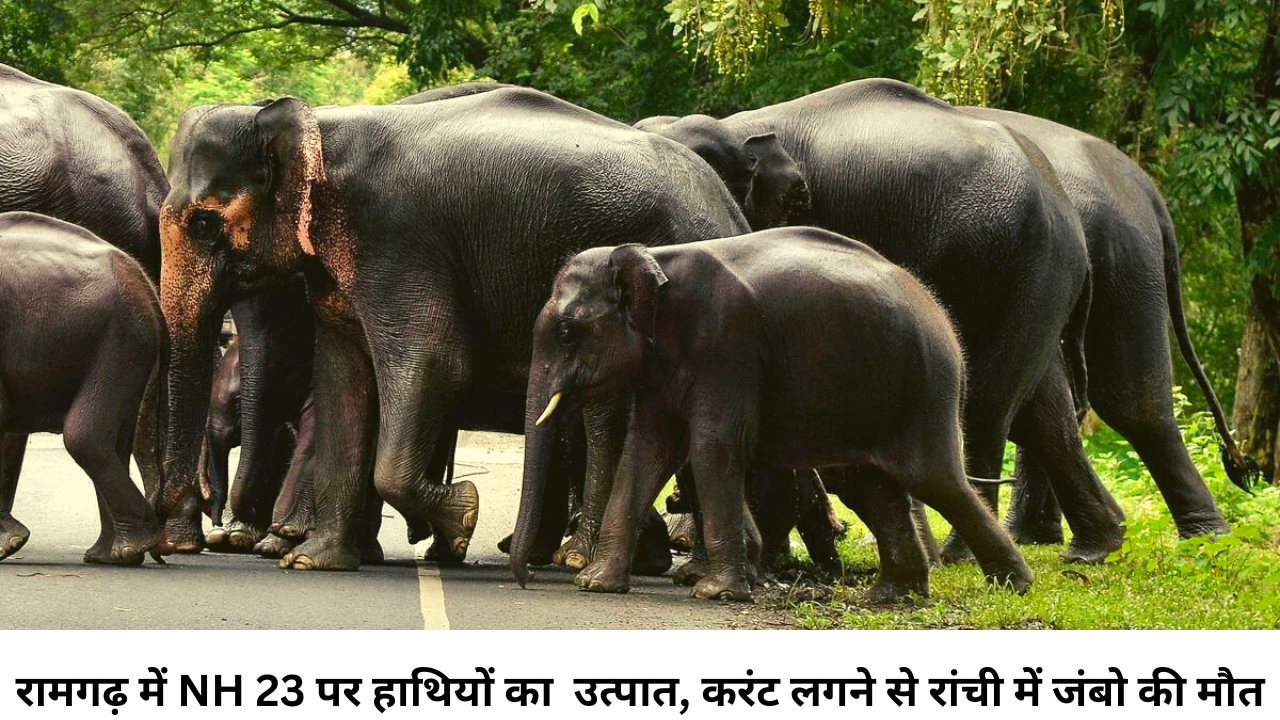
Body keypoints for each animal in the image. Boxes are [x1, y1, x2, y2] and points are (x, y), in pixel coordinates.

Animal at [0, 212, 163, 564]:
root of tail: (145, 282)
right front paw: (9, 543)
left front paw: (9, 544)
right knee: (115, 442)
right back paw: (112, 554)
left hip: (120, 339)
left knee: (84, 436)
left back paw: (133, 546)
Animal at [153, 86, 750, 571]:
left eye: (203, 223)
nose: (174, 545)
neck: (320, 125)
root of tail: (727, 206)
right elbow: (343, 380)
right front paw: (312, 562)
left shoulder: (396, 242)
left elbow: (436, 360)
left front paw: (463, 519)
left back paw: (612, 563)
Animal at [510, 229, 1034, 602]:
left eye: (566, 331)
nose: (526, 577)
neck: (650, 255)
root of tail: (940, 314)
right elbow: (646, 451)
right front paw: (596, 585)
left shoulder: (727, 346)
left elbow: (712, 447)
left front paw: (715, 594)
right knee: (872, 485)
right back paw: (888, 597)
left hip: (923, 388)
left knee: (934, 480)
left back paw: (1013, 587)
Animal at [636, 78, 1126, 564]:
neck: (740, 127)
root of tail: (1063, 204)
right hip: (1040, 280)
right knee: (1044, 407)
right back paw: (1095, 545)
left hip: (1020, 266)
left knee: (987, 405)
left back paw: (959, 555)